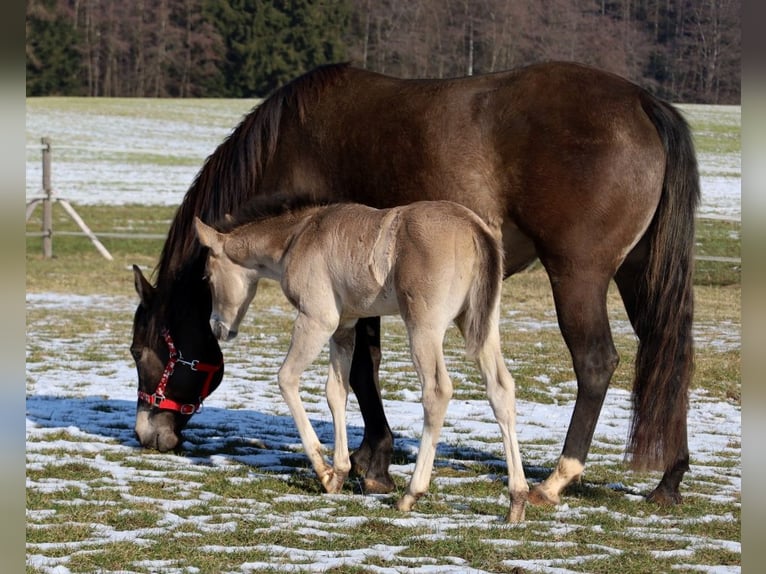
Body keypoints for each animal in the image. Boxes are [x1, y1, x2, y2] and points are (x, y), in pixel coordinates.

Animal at [193, 199, 528, 522]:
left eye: (207, 276)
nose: (218, 328)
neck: (298, 237)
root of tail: (476, 228)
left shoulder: (317, 321)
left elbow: (286, 378)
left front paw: (323, 471)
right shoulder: (344, 327)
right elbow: (336, 391)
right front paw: (339, 473)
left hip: (424, 328)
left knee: (437, 391)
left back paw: (411, 494)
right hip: (480, 326)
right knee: (501, 390)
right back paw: (517, 501)